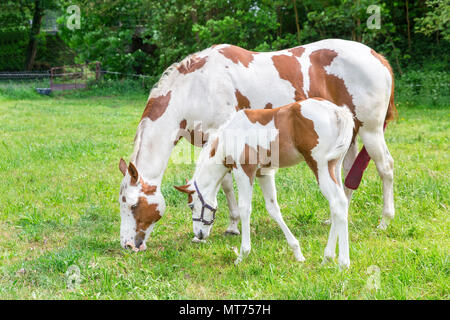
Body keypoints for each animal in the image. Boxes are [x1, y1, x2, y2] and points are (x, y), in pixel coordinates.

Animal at [176, 97, 356, 268]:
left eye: (191, 206)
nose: (198, 235)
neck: (227, 139)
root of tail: (337, 111)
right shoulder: (264, 173)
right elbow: (273, 208)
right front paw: (297, 252)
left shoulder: (243, 171)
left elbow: (245, 209)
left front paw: (242, 255)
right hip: (334, 167)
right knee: (338, 204)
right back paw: (327, 257)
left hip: (320, 166)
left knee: (338, 203)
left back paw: (343, 263)